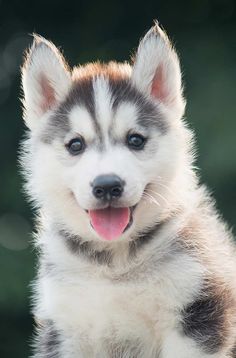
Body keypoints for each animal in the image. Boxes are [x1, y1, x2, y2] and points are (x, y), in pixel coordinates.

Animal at [20, 23, 236, 356]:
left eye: (135, 140)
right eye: (75, 145)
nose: (107, 185)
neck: (114, 264)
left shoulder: (197, 313)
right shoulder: (65, 327)